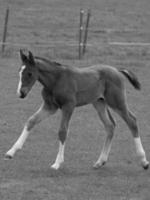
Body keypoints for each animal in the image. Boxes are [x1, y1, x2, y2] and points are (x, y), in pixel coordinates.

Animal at [4, 49, 149, 170]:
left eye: (29, 73)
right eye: (19, 72)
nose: (21, 93)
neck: (56, 80)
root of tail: (117, 71)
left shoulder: (68, 106)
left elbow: (62, 131)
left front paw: (57, 163)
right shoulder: (50, 106)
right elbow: (31, 121)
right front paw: (11, 152)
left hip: (116, 102)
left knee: (132, 121)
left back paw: (144, 161)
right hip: (99, 103)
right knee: (110, 125)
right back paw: (100, 161)